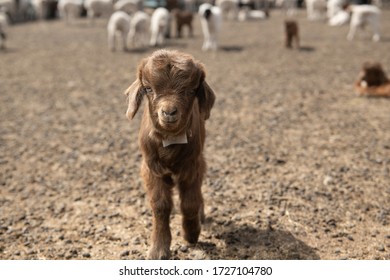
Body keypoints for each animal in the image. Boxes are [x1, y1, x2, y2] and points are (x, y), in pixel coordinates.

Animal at [125, 49, 216, 260]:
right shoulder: (151, 168)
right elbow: (160, 205)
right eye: (148, 89)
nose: (168, 112)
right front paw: (158, 250)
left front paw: (191, 235)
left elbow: (190, 202)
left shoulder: (193, 165)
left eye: (191, 90)